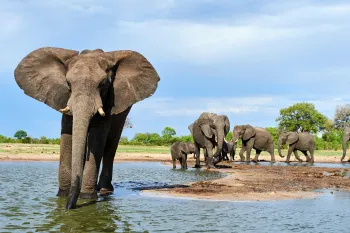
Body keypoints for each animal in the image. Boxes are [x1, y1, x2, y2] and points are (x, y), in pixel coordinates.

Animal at [14, 47, 160, 209]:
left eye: (103, 84)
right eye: (68, 83)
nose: (69, 207)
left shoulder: (109, 100)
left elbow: (97, 136)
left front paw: (86, 197)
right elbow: (68, 135)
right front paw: (62, 196)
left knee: (111, 145)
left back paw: (104, 190)